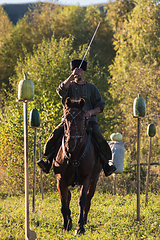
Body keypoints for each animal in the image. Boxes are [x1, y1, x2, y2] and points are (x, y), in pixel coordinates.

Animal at [53, 97, 102, 234]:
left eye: (81, 119)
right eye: (66, 117)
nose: (70, 143)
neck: (74, 154)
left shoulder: (86, 178)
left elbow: (82, 200)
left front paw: (80, 228)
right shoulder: (60, 180)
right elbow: (64, 202)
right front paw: (66, 225)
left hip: (94, 179)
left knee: (89, 199)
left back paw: (84, 221)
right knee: (68, 197)